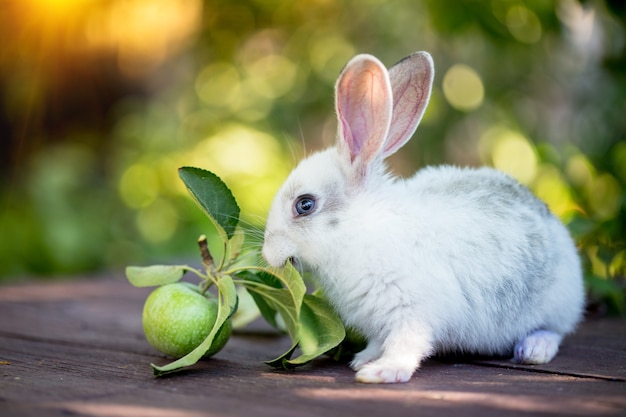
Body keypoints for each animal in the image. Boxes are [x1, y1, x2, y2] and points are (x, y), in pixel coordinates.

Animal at [260, 52, 584, 384]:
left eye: (305, 205)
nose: (267, 253)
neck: (359, 231)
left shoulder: (411, 311)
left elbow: (406, 344)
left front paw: (380, 372)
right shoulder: (380, 322)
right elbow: (379, 341)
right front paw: (364, 359)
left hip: (557, 304)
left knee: (554, 330)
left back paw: (534, 349)